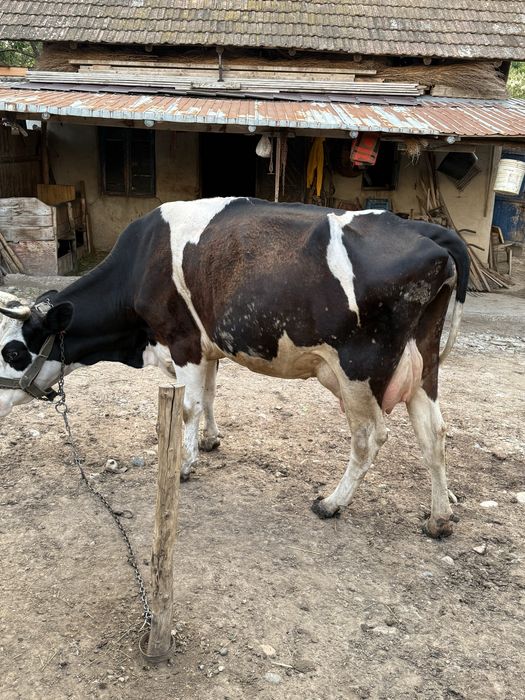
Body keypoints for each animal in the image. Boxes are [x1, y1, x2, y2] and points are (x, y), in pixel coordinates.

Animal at [0, 197, 469, 538]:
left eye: (14, 352)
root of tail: (422, 228)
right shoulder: (209, 347)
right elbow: (208, 395)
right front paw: (209, 441)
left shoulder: (183, 341)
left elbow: (188, 407)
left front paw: (184, 463)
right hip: (423, 363)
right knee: (434, 432)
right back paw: (439, 519)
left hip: (358, 368)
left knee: (370, 437)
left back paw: (332, 503)